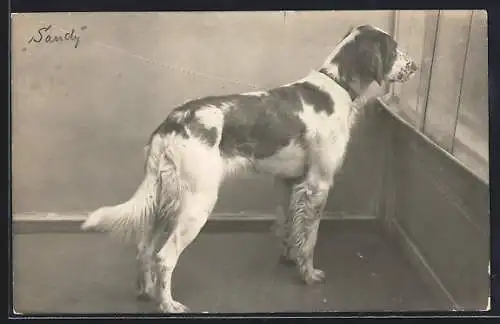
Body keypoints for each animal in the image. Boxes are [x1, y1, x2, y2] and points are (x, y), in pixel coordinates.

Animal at [82, 24, 418, 312]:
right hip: (196, 204)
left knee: (144, 249)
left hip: (165, 200)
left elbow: (290, 228)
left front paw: (289, 259)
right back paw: (168, 305)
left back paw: (146, 292)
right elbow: (310, 239)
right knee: (164, 257)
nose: (415, 66)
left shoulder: (290, 182)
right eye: (394, 48)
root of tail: (172, 123)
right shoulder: (317, 183)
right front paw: (309, 275)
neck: (335, 87)